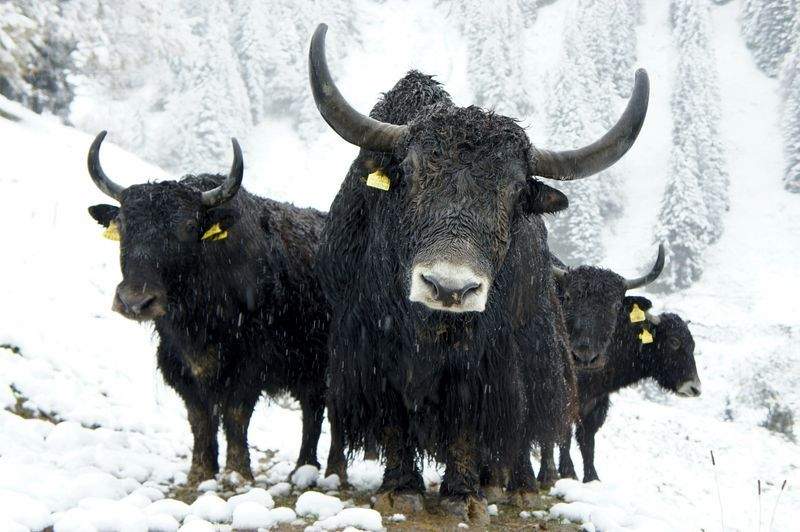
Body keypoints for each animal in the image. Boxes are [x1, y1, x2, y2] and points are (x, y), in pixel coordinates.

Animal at [85, 132, 345, 485]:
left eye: (186, 227)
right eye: (123, 225)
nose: (135, 302)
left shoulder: (251, 362)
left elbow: (236, 414)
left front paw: (238, 474)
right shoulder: (177, 364)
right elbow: (199, 416)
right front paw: (200, 472)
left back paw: (333, 473)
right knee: (312, 408)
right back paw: (303, 468)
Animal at [307, 23, 649, 522]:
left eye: (515, 191)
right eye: (410, 172)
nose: (448, 288)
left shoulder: (488, 359)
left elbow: (471, 417)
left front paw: (462, 496)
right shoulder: (369, 345)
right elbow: (394, 415)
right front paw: (401, 488)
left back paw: (515, 486)